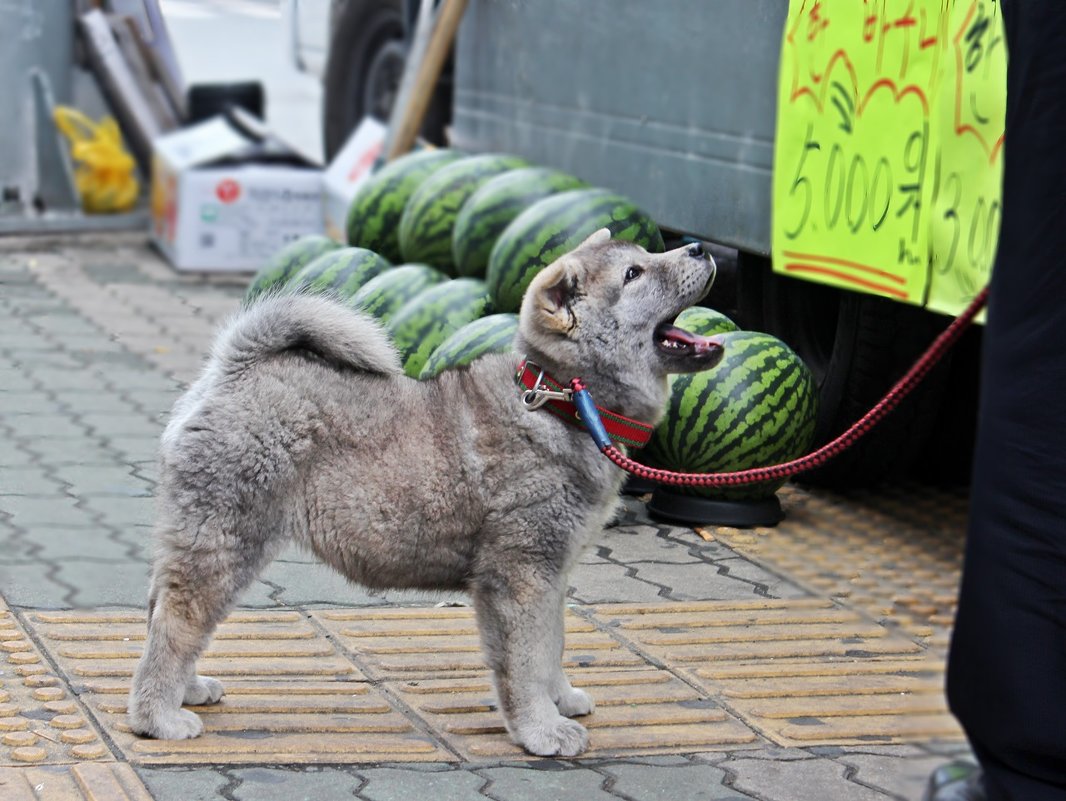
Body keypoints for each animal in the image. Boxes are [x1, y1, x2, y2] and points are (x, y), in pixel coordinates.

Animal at [128, 230, 720, 759]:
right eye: (634, 274)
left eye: (646, 256)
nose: (698, 247)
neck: (562, 401)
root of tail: (231, 372)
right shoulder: (521, 574)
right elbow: (525, 661)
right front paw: (540, 730)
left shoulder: (552, 574)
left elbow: (552, 644)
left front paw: (561, 700)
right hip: (227, 538)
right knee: (177, 620)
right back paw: (158, 718)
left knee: (161, 608)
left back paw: (185, 690)